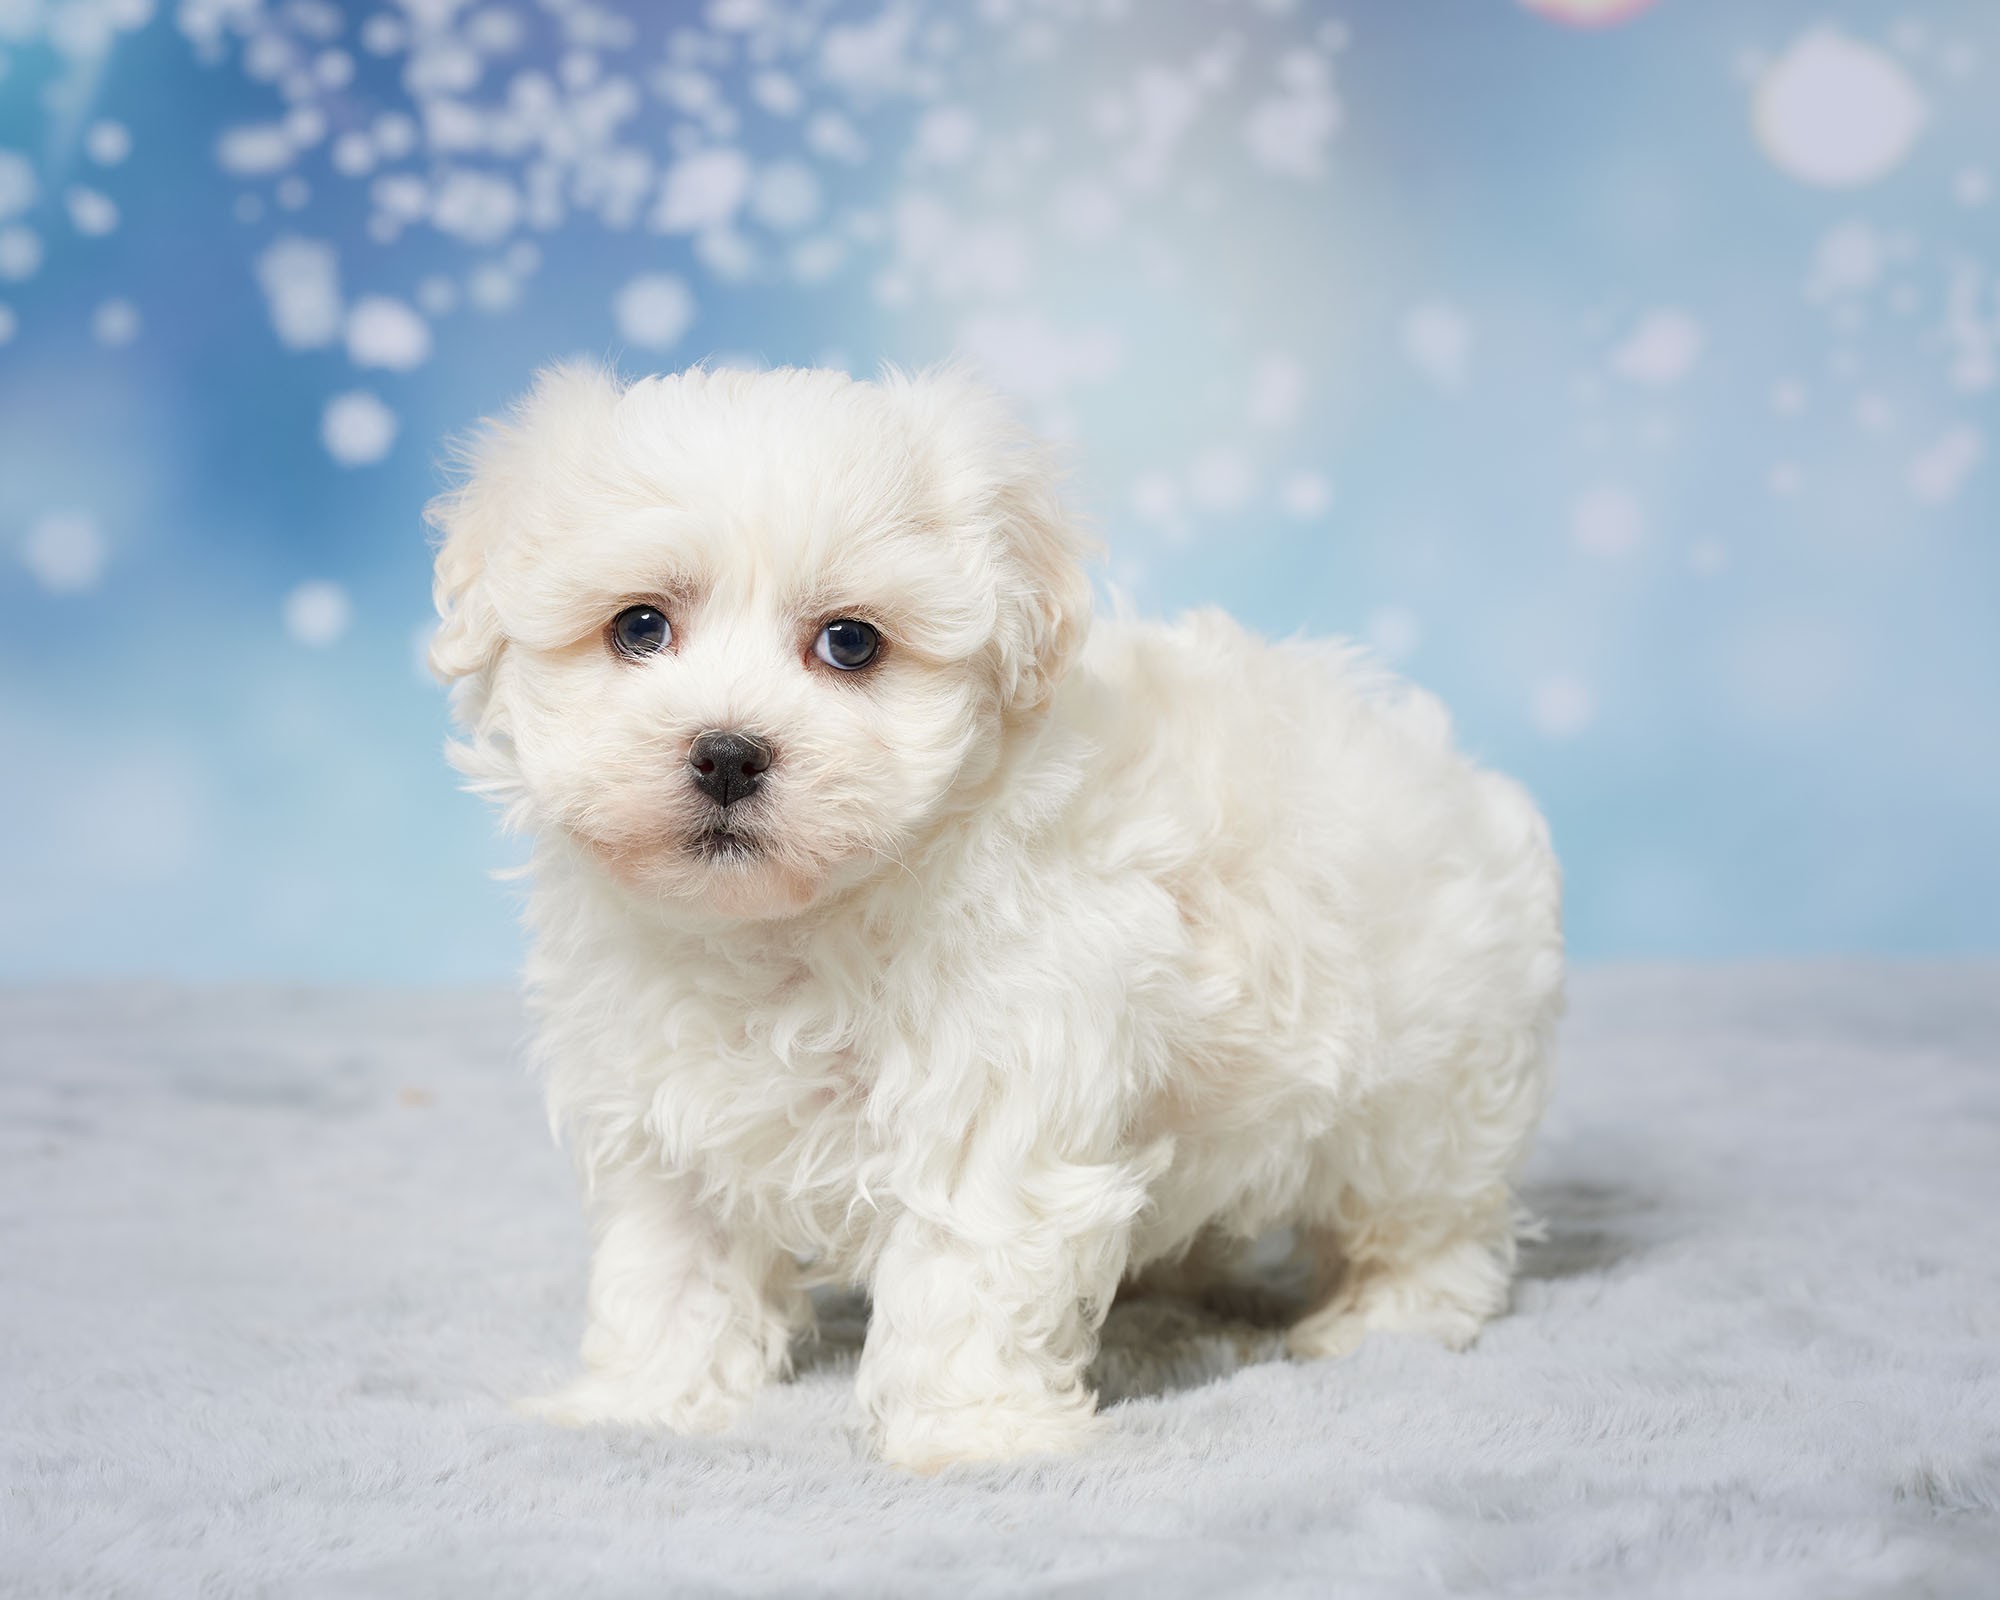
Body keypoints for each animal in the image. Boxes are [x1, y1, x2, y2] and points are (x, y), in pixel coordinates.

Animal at [434, 366, 1560, 1472]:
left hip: (1421, 1092)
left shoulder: (998, 1075)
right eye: (638, 626)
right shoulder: (663, 1106)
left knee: (1430, 1222)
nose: (726, 752)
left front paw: (967, 1435)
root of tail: (1458, 775)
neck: (789, 929)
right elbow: (671, 1261)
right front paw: (644, 1401)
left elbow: (966, 1260)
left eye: (849, 641)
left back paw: (1388, 1318)